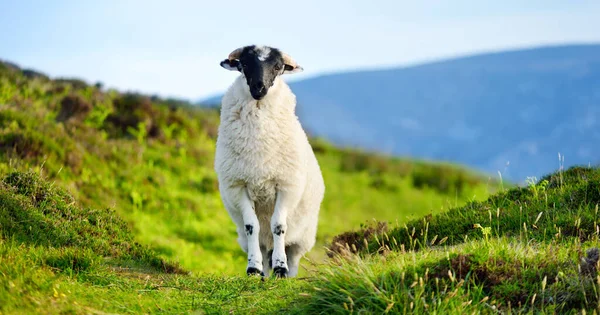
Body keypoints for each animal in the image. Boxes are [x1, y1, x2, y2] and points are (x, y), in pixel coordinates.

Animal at [214, 45, 326, 278]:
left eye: (277, 67)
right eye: (245, 64)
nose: (259, 87)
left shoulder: (286, 186)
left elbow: (279, 226)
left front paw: (280, 267)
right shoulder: (239, 186)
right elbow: (251, 226)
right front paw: (253, 268)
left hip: (303, 237)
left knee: (292, 253)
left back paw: (287, 274)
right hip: (259, 240)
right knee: (263, 245)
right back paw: (264, 271)